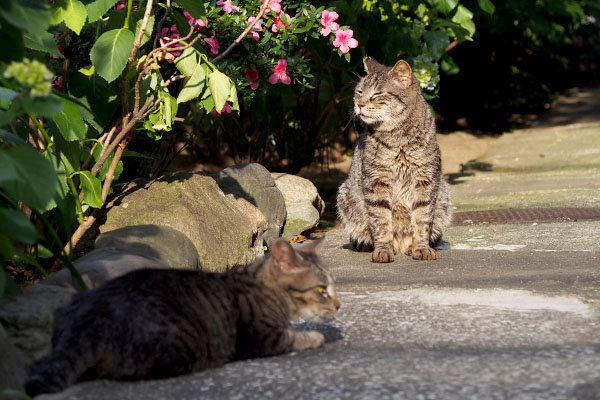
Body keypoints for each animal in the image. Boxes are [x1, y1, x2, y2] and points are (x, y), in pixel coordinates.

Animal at [25, 239, 340, 396]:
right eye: (321, 289)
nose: (338, 305)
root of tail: (93, 314)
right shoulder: (261, 338)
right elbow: (297, 336)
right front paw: (315, 335)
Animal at [338, 56, 450, 262]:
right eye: (359, 92)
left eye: (377, 94)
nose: (359, 104)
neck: (398, 138)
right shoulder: (376, 182)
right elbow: (381, 221)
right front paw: (383, 249)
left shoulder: (425, 181)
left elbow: (422, 220)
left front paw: (421, 247)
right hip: (345, 195)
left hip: (444, 194)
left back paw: (410, 246)